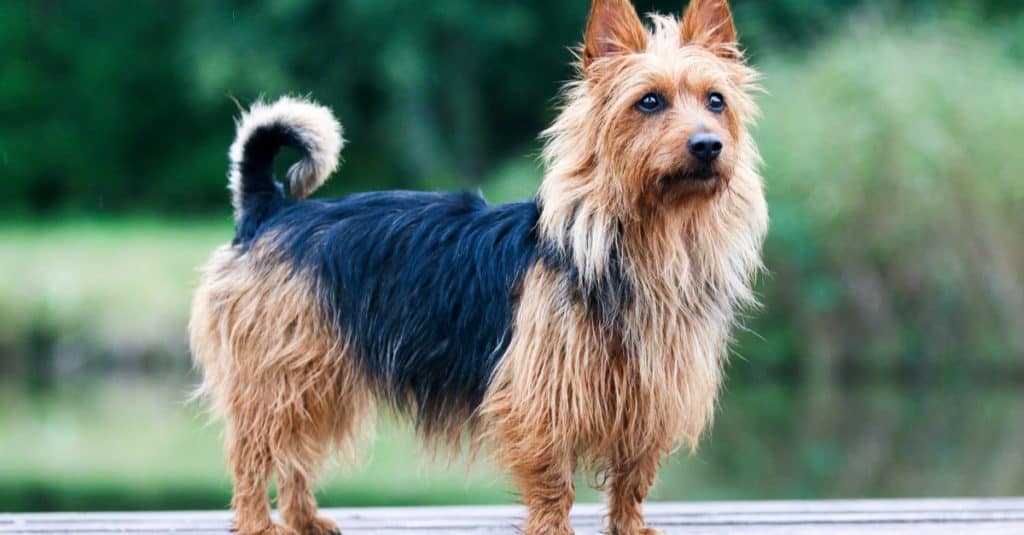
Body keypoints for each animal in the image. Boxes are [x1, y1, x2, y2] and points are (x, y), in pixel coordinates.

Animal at [190, 2, 770, 528]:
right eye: (649, 101)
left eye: (716, 101)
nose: (708, 144)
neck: (645, 243)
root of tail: (270, 208)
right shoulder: (541, 400)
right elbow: (553, 483)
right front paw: (552, 528)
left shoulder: (650, 397)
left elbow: (633, 479)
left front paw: (630, 526)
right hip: (279, 375)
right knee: (252, 453)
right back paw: (258, 522)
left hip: (318, 379)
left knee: (295, 454)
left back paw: (304, 518)